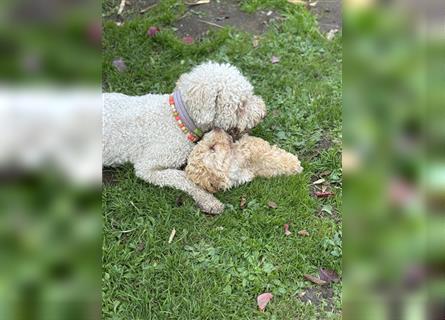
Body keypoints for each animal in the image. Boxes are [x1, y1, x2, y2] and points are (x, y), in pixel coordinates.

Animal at [102, 61, 266, 214]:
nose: (263, 113)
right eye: (241, 104)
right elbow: (183, 177)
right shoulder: (147, 167)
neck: (178, 118)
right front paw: (208, 200)